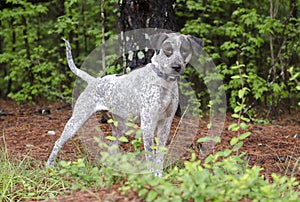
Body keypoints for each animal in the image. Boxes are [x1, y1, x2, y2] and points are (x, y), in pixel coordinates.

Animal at [46, 33, 204, 177]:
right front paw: (152, 177)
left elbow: (159, 156)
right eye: (167, 50)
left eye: (184, 50)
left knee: (111, 149)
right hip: (76, 121)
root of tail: (93, 81)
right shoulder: (148, 124)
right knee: (58, 142)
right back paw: (49, 166)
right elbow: (150, 155)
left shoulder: (165, 125)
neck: (164, 82)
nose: (176, 67)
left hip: (120, 128)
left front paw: (159, 177)